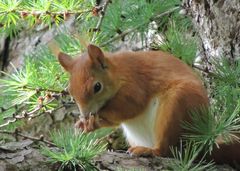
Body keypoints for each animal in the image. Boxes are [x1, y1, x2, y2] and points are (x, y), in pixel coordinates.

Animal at [57, 44, 240, 164]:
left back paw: (149, 151)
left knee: (167, 150)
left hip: (176, 107)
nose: (85, 114)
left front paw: (93, 119)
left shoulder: (135, 85)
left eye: (97, 87)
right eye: (70, 90)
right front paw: (84, 124)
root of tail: (200, 141)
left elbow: (128, 108)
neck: (119, 71)